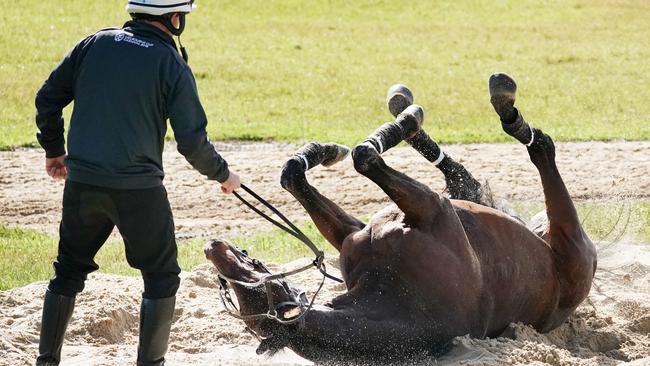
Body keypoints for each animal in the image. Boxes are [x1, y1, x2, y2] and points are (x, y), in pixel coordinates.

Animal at [205, 73, 596, 364]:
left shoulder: (362, 231)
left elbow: (302, 173)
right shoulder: (433, 209)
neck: (390, 295)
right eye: (247, 291)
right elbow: (363, 156)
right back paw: (502, 112)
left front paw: (320, 152)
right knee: (539, 150)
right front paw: (406, 121)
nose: (213, 247)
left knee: (470, 178)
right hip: (569, 238)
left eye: (250, 280)